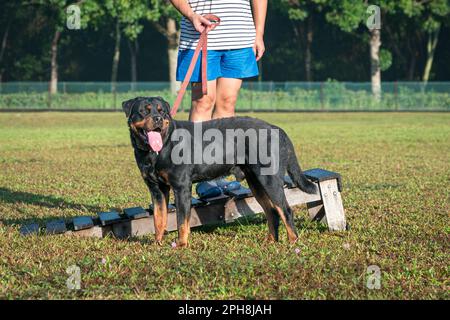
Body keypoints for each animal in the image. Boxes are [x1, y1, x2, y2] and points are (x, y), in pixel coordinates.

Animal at [123, 96, 316, 246]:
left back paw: (292, 242)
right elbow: (159, 218)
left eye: (162, 111)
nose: (157, 118)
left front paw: (181, 245)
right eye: (144, 111)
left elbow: (181, 221)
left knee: (285, 210)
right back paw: (270, 241)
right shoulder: (156, 189)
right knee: (272, 212)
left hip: (269, 180)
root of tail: (278, 129)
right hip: (256, 182)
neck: (156, 150)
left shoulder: (181, 187)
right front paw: (158, 244)